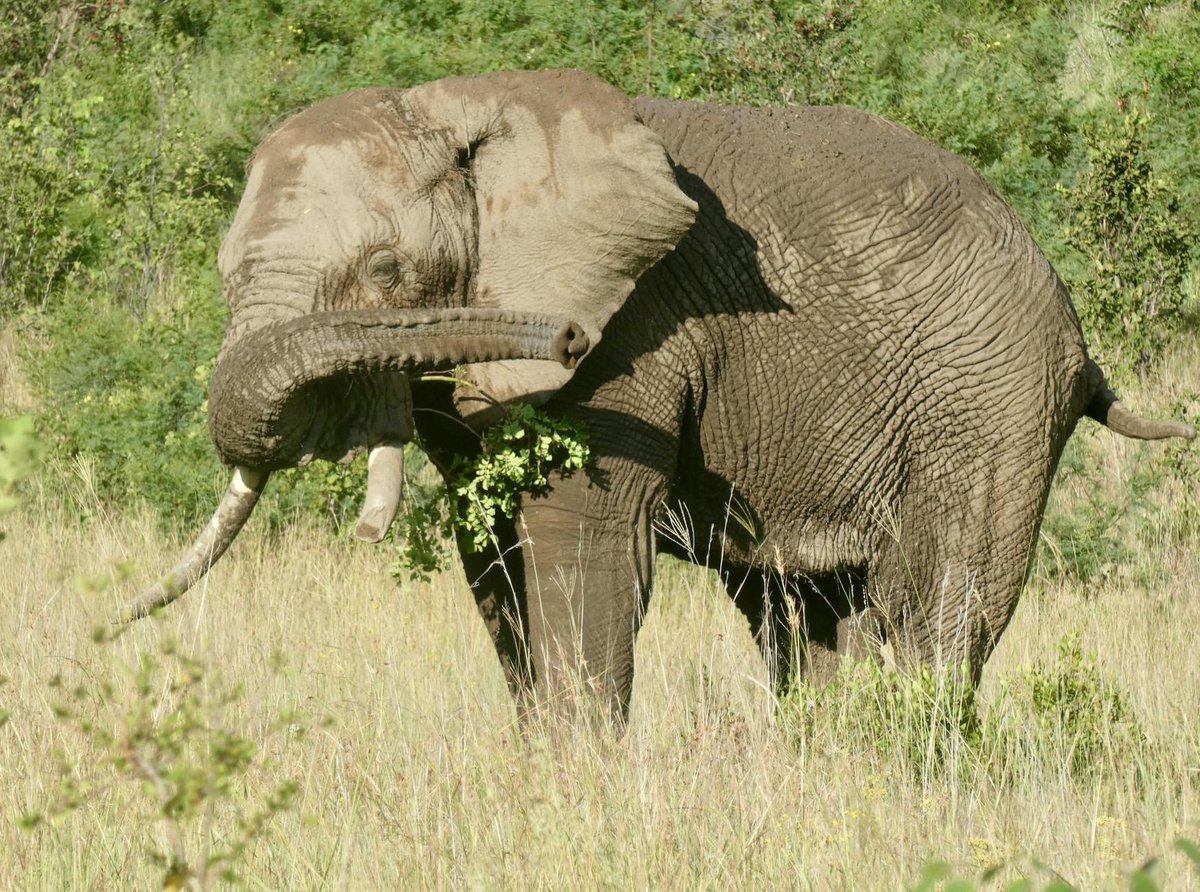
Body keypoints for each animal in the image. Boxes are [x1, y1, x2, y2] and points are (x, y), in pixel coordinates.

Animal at [126, 68, 1194, 724]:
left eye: (386, 271)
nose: (557, 333)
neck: (463, 105)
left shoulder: (636, 329)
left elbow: (580, 545)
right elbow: (494, 558)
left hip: (990, 392)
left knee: (938, 605)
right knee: (802, 614)